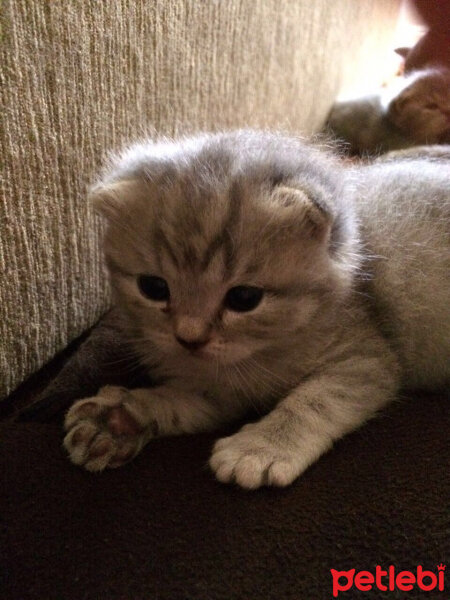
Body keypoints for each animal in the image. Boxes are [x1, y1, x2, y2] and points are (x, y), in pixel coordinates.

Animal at [64, 130, 450, 488]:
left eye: (244, 299)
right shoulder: (220, 393)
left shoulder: (364, 359)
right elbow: (180, 401)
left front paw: (261, 448)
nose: (189, 338)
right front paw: (121, 417)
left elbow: (314, 400)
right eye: (154, 288)